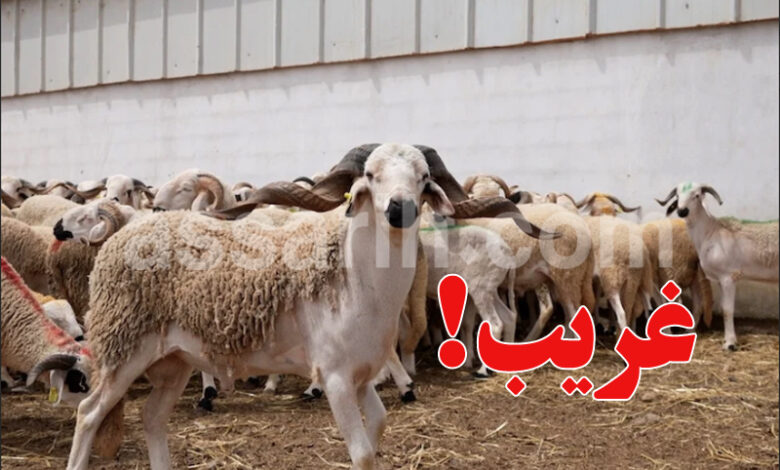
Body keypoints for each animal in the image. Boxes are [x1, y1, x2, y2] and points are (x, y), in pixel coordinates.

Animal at [65, 143, 548, 470]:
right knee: (88, 414)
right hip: (124, 346)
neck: (354, 276)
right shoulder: (334, 376)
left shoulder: (361, 374)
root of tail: (127, 233)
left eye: (424, 175)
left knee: (151, 418)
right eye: (370, 173)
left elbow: (378, 428)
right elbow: (362, 453)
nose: (401, 209)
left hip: (174, 360)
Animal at [656, 182, 779, 350]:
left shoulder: (729, 277)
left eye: (697, 195)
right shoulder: (721, 279)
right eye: (677, 196)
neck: (711, 233)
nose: (682, 211)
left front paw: (730, 343)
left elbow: (727, 310)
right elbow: (722, 307)